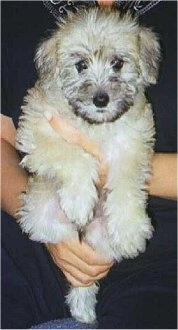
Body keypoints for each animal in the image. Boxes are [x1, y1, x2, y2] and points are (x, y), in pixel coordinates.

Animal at [16, 7, 161, 322]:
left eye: (117, 63)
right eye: (81, 65)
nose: (100, 99)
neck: (96, 126)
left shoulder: (132, 143)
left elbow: (127, 184)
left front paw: (130, 229)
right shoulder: (37, 131)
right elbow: (73, 157)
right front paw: (79, 201)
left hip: (101, 242)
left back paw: (83, 307)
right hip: (38, 214)